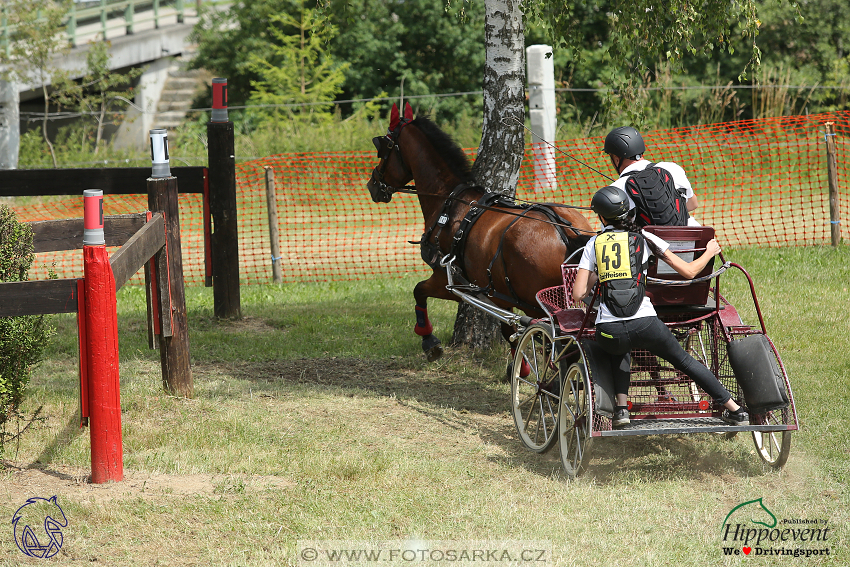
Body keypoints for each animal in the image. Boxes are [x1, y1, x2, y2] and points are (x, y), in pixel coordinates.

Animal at [368, 104, 592, 362]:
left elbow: (419, 291)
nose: (372, 184)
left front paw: (428, 340)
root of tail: (566, 230)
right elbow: (509, 332)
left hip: (534, 302)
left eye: (383, 148)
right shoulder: (493, 294)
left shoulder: (453, 283)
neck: (450, 201)